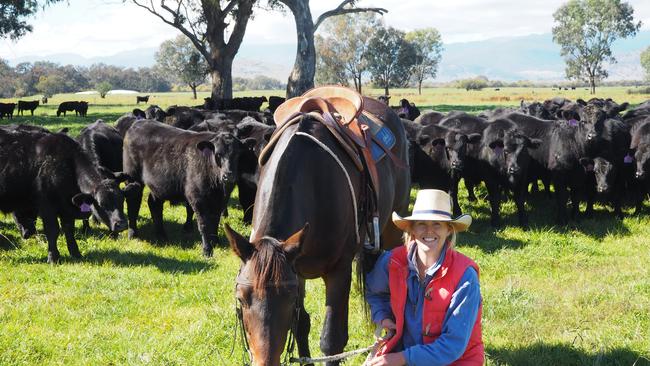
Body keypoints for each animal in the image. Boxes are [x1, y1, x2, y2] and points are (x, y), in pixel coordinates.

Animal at [0, 129, 128, 264]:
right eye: (102, 203)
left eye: (122, 200)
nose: (122, 224)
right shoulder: (47, 206)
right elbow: (52, 230)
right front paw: (53, 257)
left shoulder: (67, 206)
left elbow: (69, 229)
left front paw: (76, 253)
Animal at [122, 121, 246, 256]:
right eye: (218, 154)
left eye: (237, 154)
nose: (228, 175)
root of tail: (138, 123)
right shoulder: (197, 197)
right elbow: (204, 224)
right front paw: (207, 250)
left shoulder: (220, 199)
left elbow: (215, 221)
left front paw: (216, 242)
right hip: (133, 178)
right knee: (133, 203)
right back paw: (133, 234)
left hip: (157, 186)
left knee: (154, 204)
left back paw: (161, 235)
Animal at [224, 95, 404, 366]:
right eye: (242, 297)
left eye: (287, 298)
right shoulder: (294, 266)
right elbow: (301, 325)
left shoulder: (339, 270)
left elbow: (332, 340)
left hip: (391, 231)